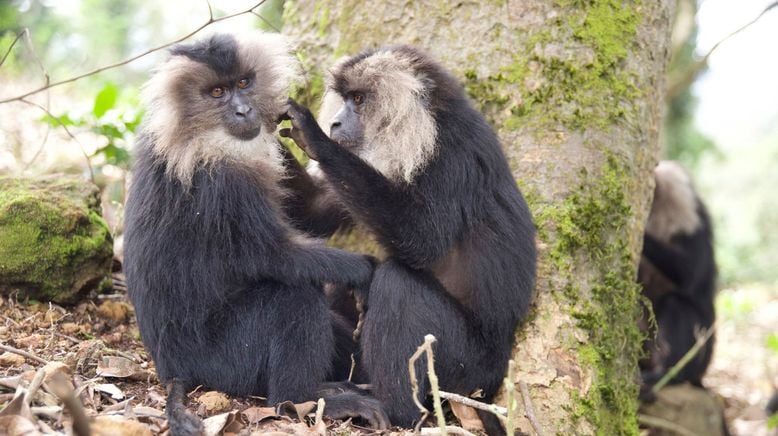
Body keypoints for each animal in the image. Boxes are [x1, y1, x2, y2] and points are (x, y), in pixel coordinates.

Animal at [124, 32, 388, 434]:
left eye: (244, 83)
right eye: (217, 92)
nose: (243, 111)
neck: (202, 134)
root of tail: (171, 370)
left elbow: (310, 215)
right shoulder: (219, 181)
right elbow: (274, 255)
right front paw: (364, 270)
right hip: (222, 363)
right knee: (292, 296)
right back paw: (306, 399)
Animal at [276, 46, 536, 434]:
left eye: (358, 99)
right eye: (346, 98)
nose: (335, 123)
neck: (424, 126)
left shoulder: (451, 156)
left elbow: (421, 240)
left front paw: (314, 136)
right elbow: (312, 213)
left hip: (468, 368)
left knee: (399, 284)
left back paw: (394, 412)